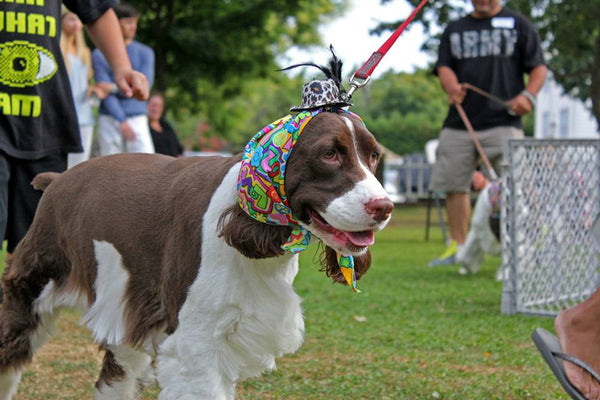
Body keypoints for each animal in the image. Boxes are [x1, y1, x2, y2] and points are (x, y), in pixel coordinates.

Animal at [0, 110, 394, 400]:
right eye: (329, 154)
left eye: (374, 155)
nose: (384, 207)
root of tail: (56, 180)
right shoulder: (196, 345)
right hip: (32, 284)